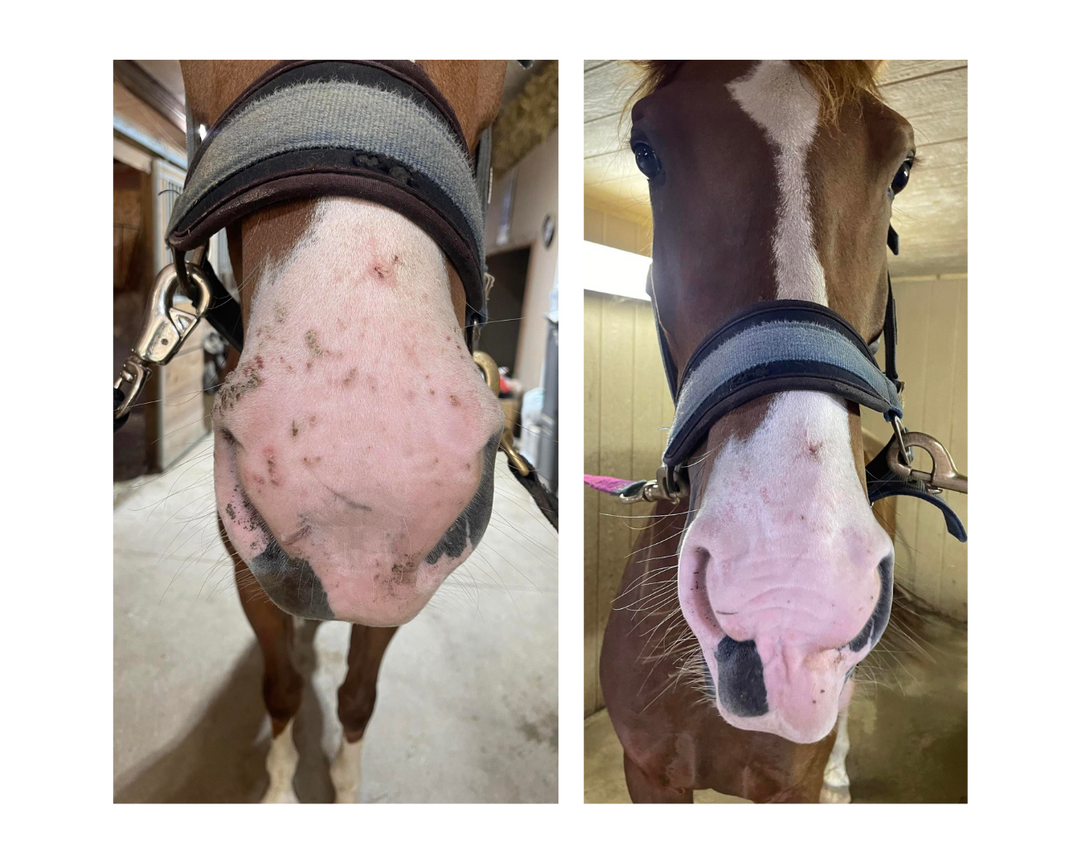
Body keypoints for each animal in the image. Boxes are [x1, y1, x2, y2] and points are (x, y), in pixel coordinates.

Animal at [160, 60, 516, 802]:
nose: (361, 506)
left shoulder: (388, 599)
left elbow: (357, 697)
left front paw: (345, 784)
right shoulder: (248, 571)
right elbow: (281, 688)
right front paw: (278, 786)